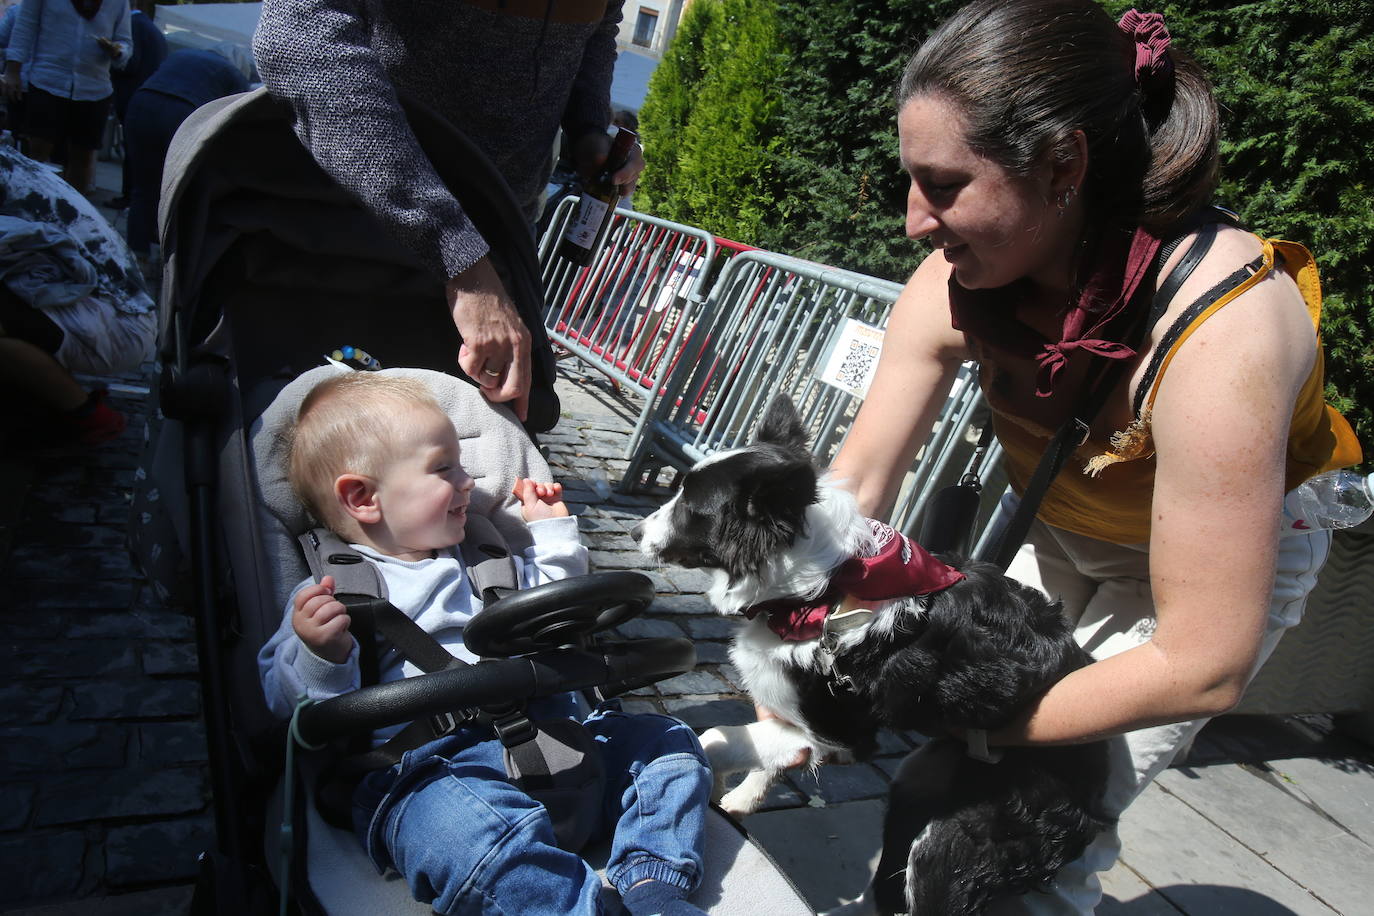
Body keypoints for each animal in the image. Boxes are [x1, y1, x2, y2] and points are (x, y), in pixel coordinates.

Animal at [637, 398, 1110, 911]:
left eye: (690, 506)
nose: (637, 530)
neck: (819, 592)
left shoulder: (840, 734)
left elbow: (713, 738)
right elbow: (766, 754)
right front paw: (740, 795)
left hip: (956, 840)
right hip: (921, 787)